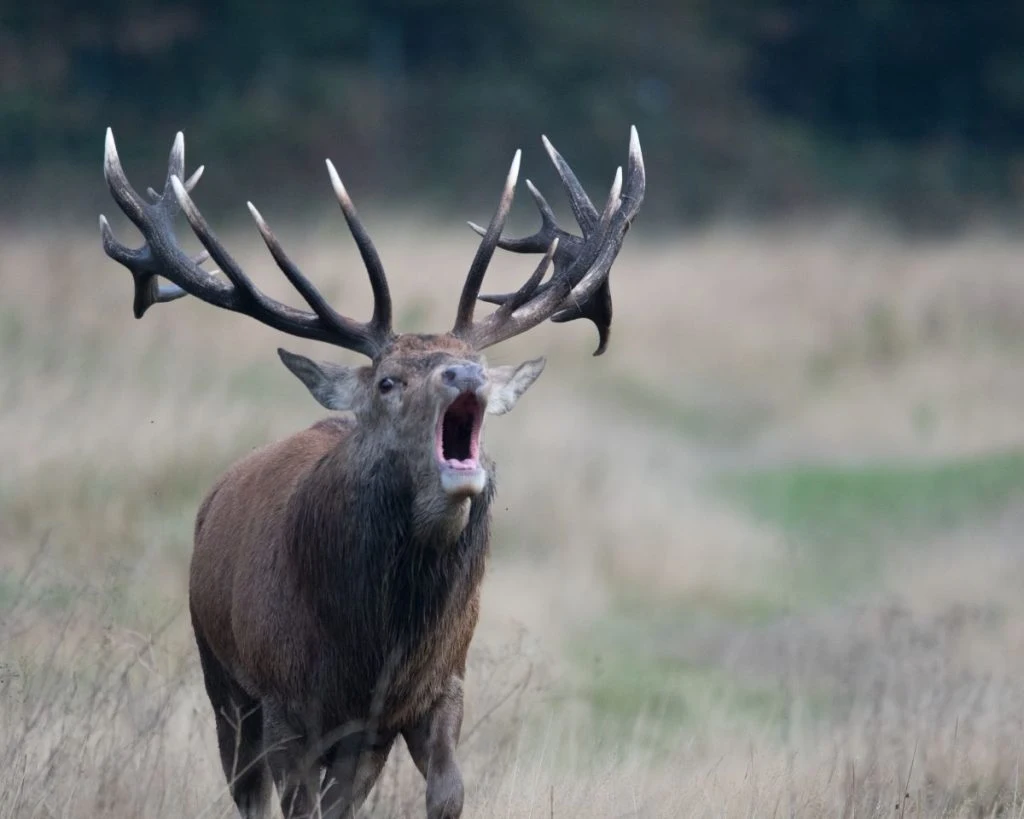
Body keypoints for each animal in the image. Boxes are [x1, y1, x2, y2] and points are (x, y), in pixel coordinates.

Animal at [99, 124, 644, 819]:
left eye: (478, 368)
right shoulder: (284, 703)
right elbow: (295, 805)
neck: (370, 650)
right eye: (388, 381)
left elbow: (447, 793)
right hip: (222, 681)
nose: (463, 375)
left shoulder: (431, 692)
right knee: (248, 791)